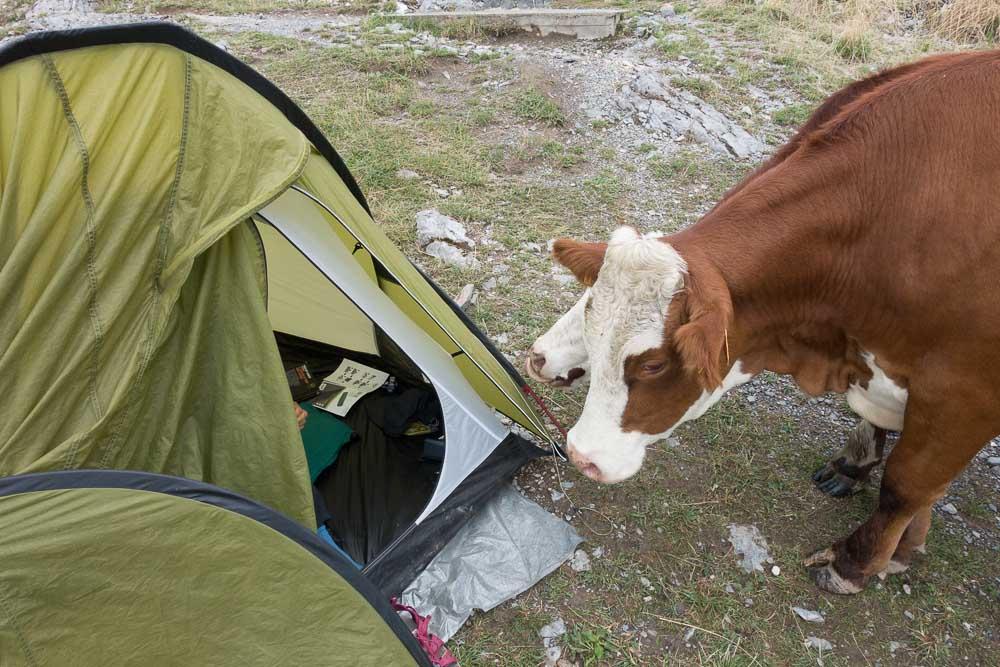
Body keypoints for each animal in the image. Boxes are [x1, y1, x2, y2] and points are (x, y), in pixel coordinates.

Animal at [524, 51, 1000, 596]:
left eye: (654, 364)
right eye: (591, 317)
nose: (581, 455)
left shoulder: (965, 394)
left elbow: (907, 483)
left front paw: (857, 562)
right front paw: (890, 523)